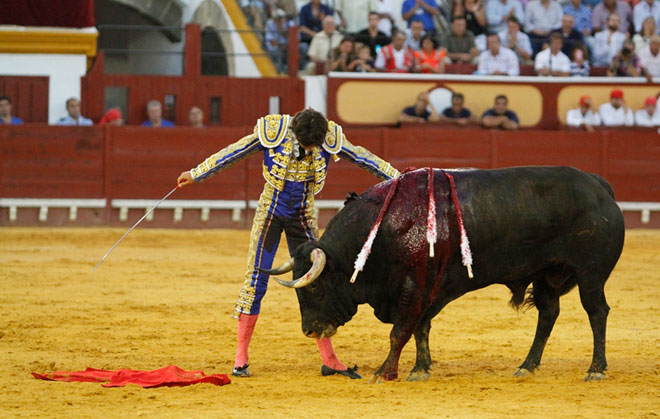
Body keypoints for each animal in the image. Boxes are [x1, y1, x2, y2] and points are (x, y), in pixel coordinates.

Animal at [264, 166, 624, 382]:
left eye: (313, 289)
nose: (309, 330)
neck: (383, 230)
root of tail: (601, 187)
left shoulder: (413, 287)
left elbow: (399, 331)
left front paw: (385, 371)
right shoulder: (427, 290)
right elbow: (420, 328)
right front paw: (420, 369)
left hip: (590, 273)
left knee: (597, 312)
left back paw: (595, 369)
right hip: (547, 273)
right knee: (548, 314)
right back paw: (526, 365)